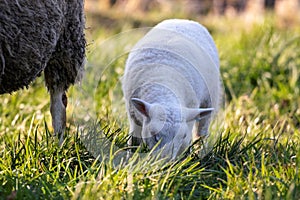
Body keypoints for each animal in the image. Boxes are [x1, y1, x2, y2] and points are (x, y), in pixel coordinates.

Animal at [122, 18, 220, 159]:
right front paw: (131, 159)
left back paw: (199, 153)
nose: (164, 160)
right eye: (154, 135)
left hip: (210, 97)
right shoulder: (133, 116)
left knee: (201, 132)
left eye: (182, 136)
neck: (164, 88)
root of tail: (184, 20)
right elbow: (134, 141)